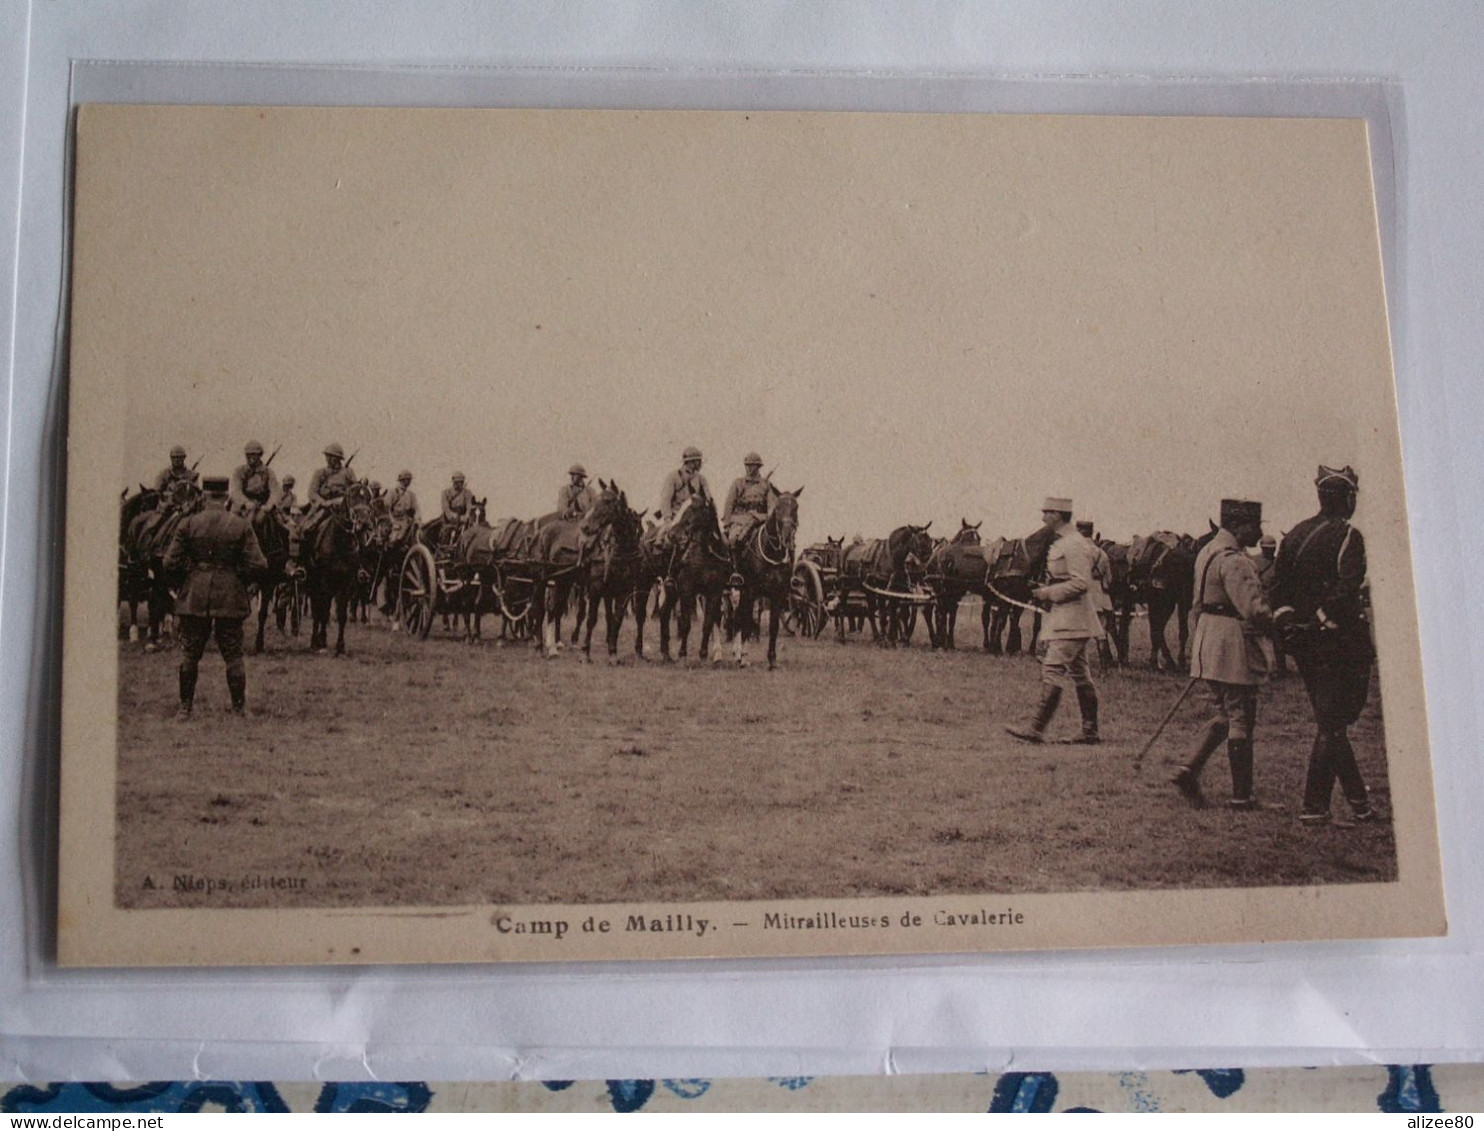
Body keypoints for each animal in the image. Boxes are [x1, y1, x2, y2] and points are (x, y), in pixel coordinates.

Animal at [575, 477, 652, 656]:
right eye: (596, 499)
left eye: (608, 501)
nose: (585, 526)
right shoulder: (596, 587)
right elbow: (591, 619)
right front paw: (585, 652)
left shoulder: (624, 590)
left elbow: (617, 619)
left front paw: (612, 651)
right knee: (578, 610)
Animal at [727, 489, 807, 664]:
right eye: (777, 507)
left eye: (796, 507)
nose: (787, 536)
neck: (771, 552)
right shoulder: (750, 591)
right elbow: (747, 622)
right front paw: (743, 657)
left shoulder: (777, 595)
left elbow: (773, 626)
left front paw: (772, 658)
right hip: (738, 591)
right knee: (738, 617)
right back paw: (738, 652)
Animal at [920, 516, 991, 647]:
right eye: (965, 538)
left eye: (978, 538)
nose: (977, 555)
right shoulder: (942, 594)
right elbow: (943, 614)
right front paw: (944, 641)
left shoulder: (956, 595)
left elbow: (952, 617)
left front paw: (950, 642)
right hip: (931, 591)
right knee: (929, 612)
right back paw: (936, 639)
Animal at [985, 525, 1056, 656]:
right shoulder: (1007, 595)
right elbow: (1003, 621)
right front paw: (998, 648)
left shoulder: (1022, 596)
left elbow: (1023, 622)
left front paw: (1013, 648)